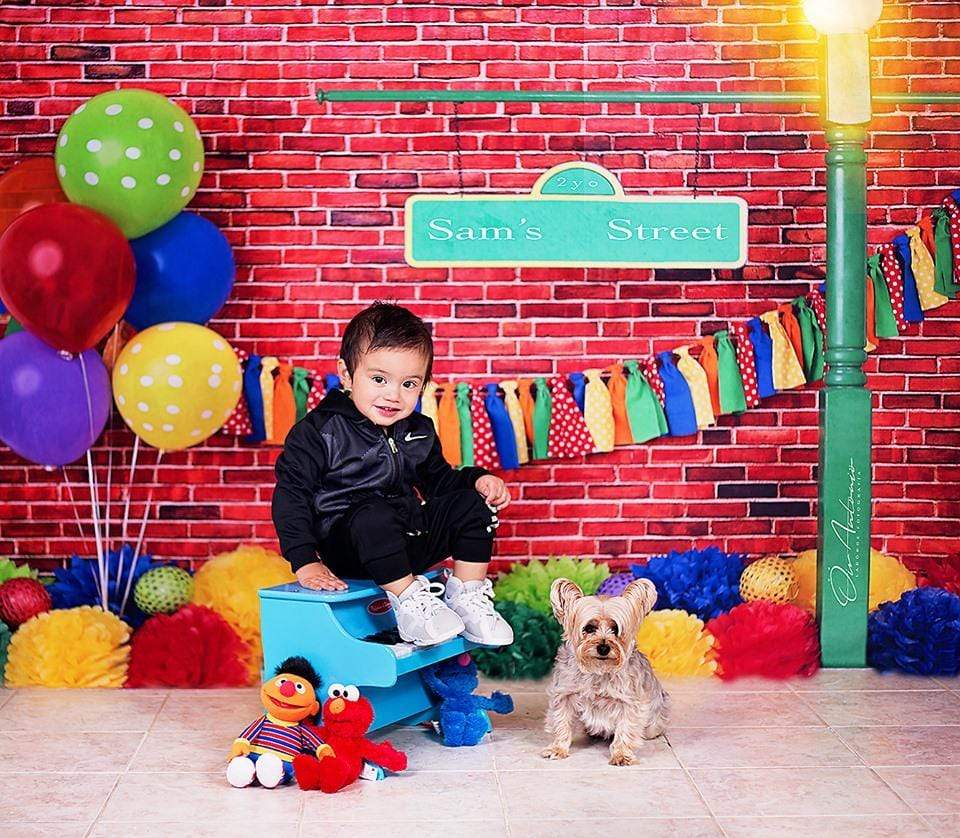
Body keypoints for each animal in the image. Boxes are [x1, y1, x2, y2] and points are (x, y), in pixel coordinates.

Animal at [540, 576, 668, 768]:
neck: (597, 669)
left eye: (615, 629)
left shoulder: (629, 702)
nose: (603, 647)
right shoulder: (564, 695)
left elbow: (625, 729)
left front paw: (621, 755)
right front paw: (558, 748)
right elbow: (561, 722)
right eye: (589, 628)